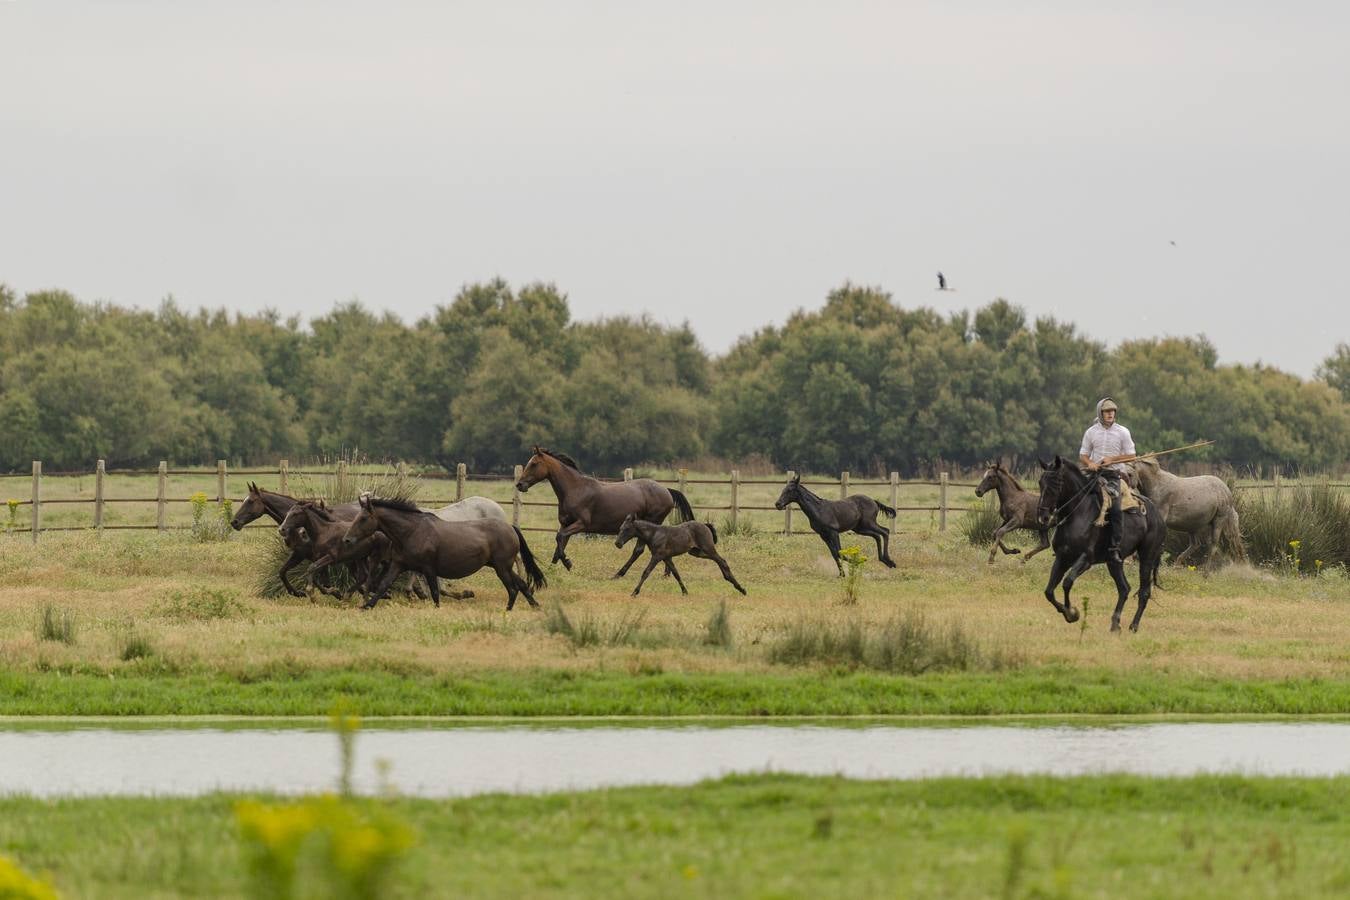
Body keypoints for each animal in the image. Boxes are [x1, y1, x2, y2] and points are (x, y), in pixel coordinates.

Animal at [340, 493, 545, 612]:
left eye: (363, 518)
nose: (347, 539)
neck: (413, 531)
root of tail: (510, 527)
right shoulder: (399, 565)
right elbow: (384, 585)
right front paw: (366, 605)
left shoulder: (429, 568)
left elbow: (435, 592)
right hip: (501, 566)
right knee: (521, 584)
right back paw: (534, 605)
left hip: (502, 567)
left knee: (513, 587)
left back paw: (508, 610)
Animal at [510, 447, 691, 577]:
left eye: (534, 464)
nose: (520, 484)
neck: (575, 489)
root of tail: (667, 490)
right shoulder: (566, 524)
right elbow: (559, 543)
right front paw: (551, 570)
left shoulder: (581, 524)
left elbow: (560, 539)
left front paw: (568, 564)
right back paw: (666, 574)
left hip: (650, 523)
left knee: (638, 550)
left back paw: (619, 574)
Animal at [615, 512, 750, 599]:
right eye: (620, 528)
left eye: (626, 529)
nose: (617, 543)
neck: (654, 534)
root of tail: (705, 525)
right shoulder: (667, 558)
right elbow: (676, 574)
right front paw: (685, 592)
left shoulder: (657, 556)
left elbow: (646, 572)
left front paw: (634, 592)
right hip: (696, 552)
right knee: (720, 561)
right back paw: (734, 583)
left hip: (708, 548)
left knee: (722, 561)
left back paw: (741, 588)